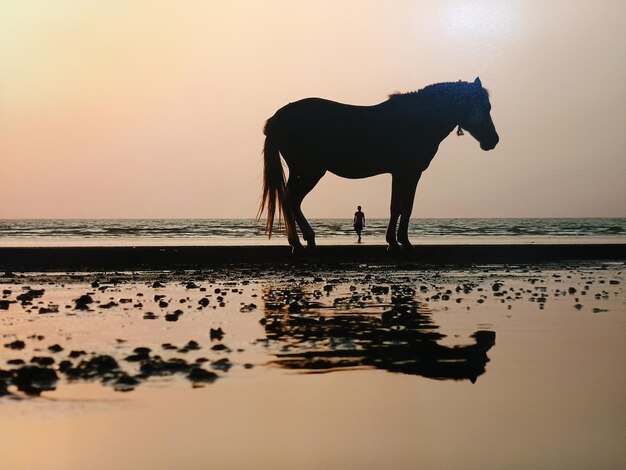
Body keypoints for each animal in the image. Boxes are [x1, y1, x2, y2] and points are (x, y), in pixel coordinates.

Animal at [256, 76, 494, 252]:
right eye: (483, 106)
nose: (493, 140)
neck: (418, 119)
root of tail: (277, 118)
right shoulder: (409, 171)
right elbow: (404, 206)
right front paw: (401, 242)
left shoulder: (401, 173)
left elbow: (398, 206)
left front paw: (395, 241)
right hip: (310, 170)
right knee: (291, 200)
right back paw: (303, 240)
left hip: (302, 171)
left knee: (289, 200)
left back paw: (299, 241)